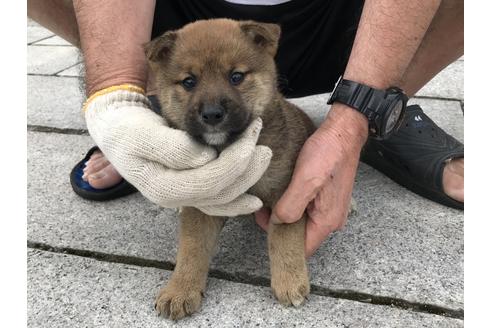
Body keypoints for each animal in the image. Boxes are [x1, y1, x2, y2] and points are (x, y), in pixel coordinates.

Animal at [145, 18, 316, 320]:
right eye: (189, 81)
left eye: (236, 76)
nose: (213, 114)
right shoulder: (201, 203)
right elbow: (191, 248)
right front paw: (180, 289)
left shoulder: (287, 193)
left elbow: (284, 237)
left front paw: (289, 280)